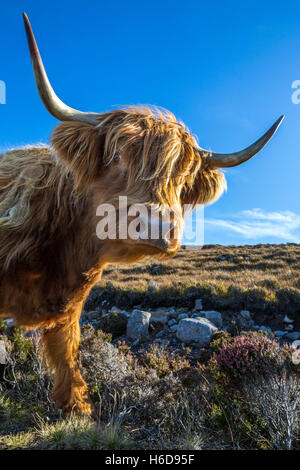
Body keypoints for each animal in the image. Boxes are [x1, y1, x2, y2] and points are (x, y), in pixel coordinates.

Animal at [0, 14, 284, 416]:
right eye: (116, 156)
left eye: (183, 180)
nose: (158, 226)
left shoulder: (68, 311)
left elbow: (68, 360)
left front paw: (78, 407)